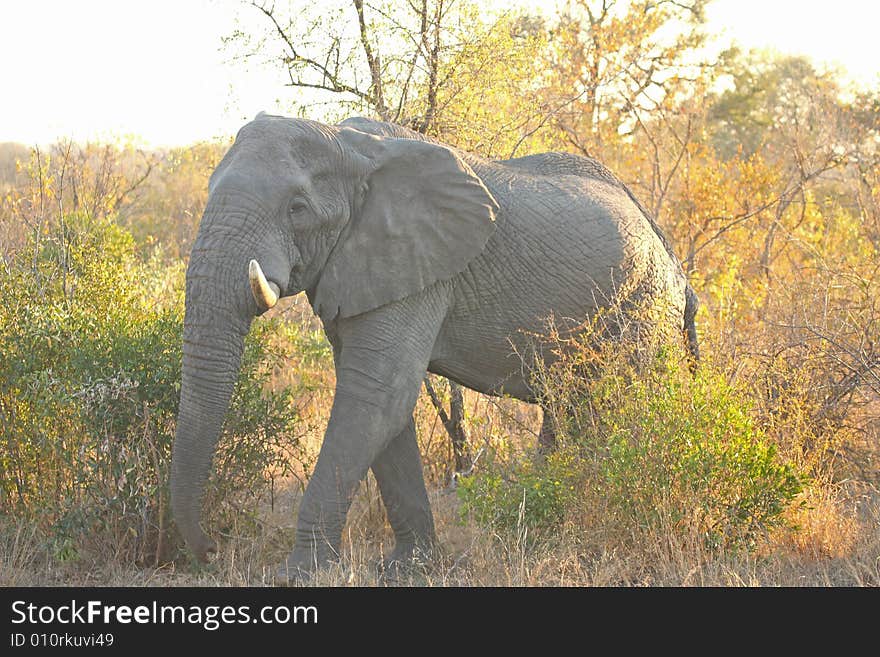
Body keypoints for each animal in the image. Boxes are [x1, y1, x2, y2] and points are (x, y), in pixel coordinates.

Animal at [168, 113, 696, 580]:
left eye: (297, 208)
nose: (212, 549)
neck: (350, 147)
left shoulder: (416, 265)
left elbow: (375, 396)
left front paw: (296, 575)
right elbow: (382, 407)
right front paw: (408, 567)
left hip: (641, 307)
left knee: (606, 408)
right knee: (565, 409)